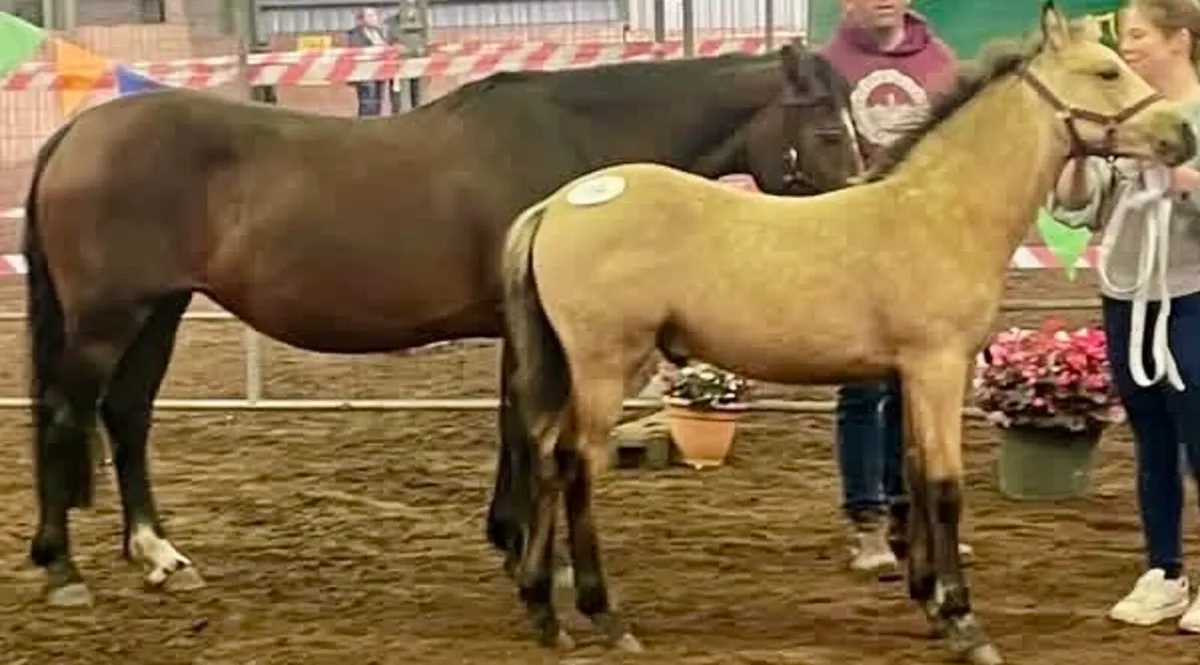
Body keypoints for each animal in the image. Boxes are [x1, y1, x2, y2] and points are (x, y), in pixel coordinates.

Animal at [22, 40, 863, 608]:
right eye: (827, 130)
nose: (858, 209)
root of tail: (77, 136)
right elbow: (527, 427)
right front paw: (538, 556)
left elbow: (511, 425)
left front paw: (509, 538)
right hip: (108, 318)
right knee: (68, 414)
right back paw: (63, 568)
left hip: (158, 312)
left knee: (127, 418)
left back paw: (160, 555)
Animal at [496, 3, 1196, 662]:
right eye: (1106, 72)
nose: (1182, 134)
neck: (940, 211)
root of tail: (555, 206)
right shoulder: (939, 366)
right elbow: (943, 486)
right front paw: (964, 622)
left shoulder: (910, 374)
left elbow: (913, 473)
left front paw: (930, 603)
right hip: (607, 365)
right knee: (575, 462)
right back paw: (605, 616)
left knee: (544, 453)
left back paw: (543, 609)